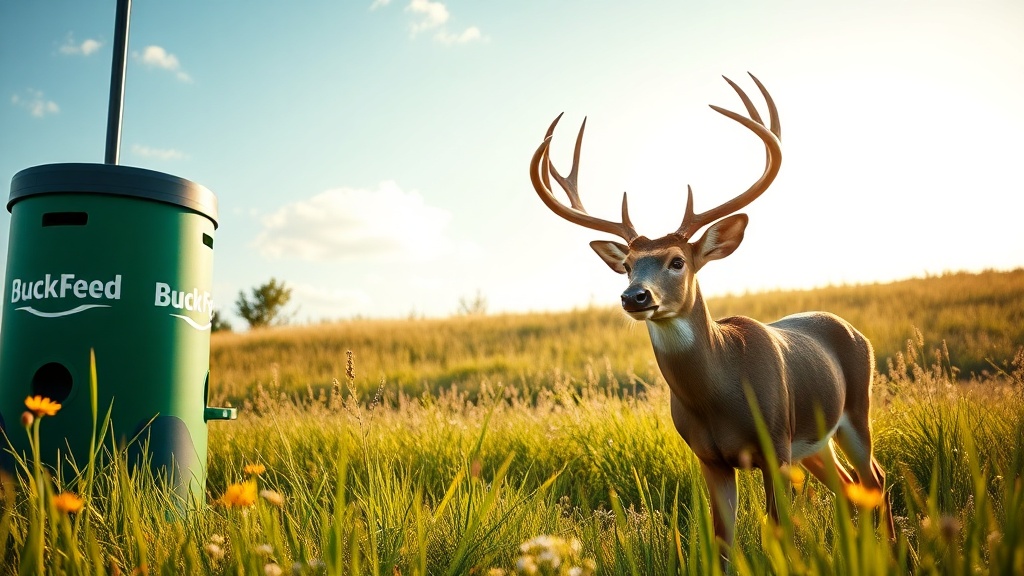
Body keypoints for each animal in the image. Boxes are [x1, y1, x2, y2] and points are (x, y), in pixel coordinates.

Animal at [528, 73, 894, 551]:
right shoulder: (709, 456)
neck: (722, 391)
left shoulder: (775, 445)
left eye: (677, 261)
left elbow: (780, 535)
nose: (635, 297)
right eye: (627, 265)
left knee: (876, 478)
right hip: (816, 441)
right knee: (851, 485)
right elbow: (722, 543)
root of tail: (855, 331)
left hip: (854, 410)